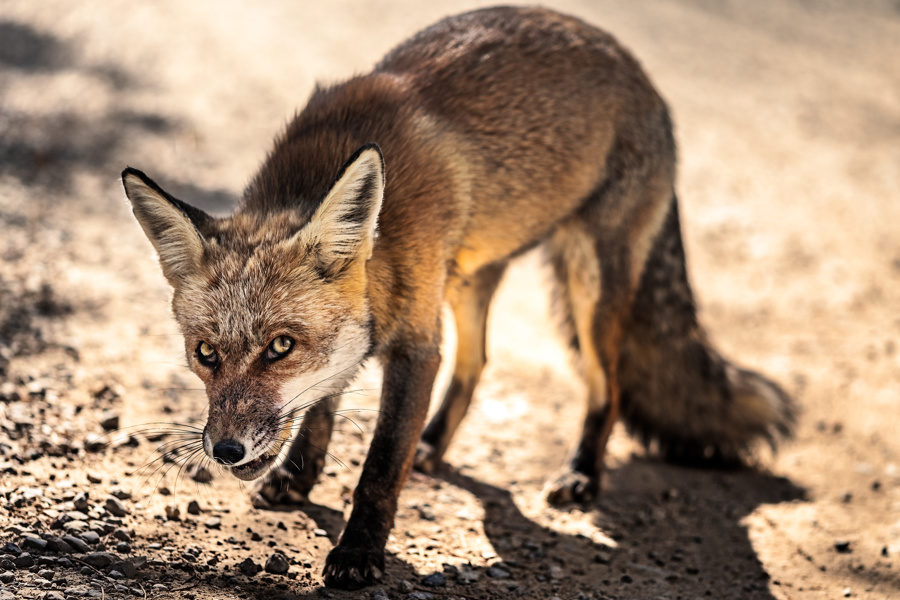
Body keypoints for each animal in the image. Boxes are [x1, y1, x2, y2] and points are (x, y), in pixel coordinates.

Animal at [121, 3, 796, 584]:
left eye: (281, 347)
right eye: (206, 354)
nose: (225, 451)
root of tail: (632, 65)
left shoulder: (417, 345)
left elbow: (378, 463)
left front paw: (359, 554)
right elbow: (322, 406)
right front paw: (298, 479)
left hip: (590, 286)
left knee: (607, 387)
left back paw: (581, 473)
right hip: (469, 281)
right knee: (478, 363)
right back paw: (435, 444)